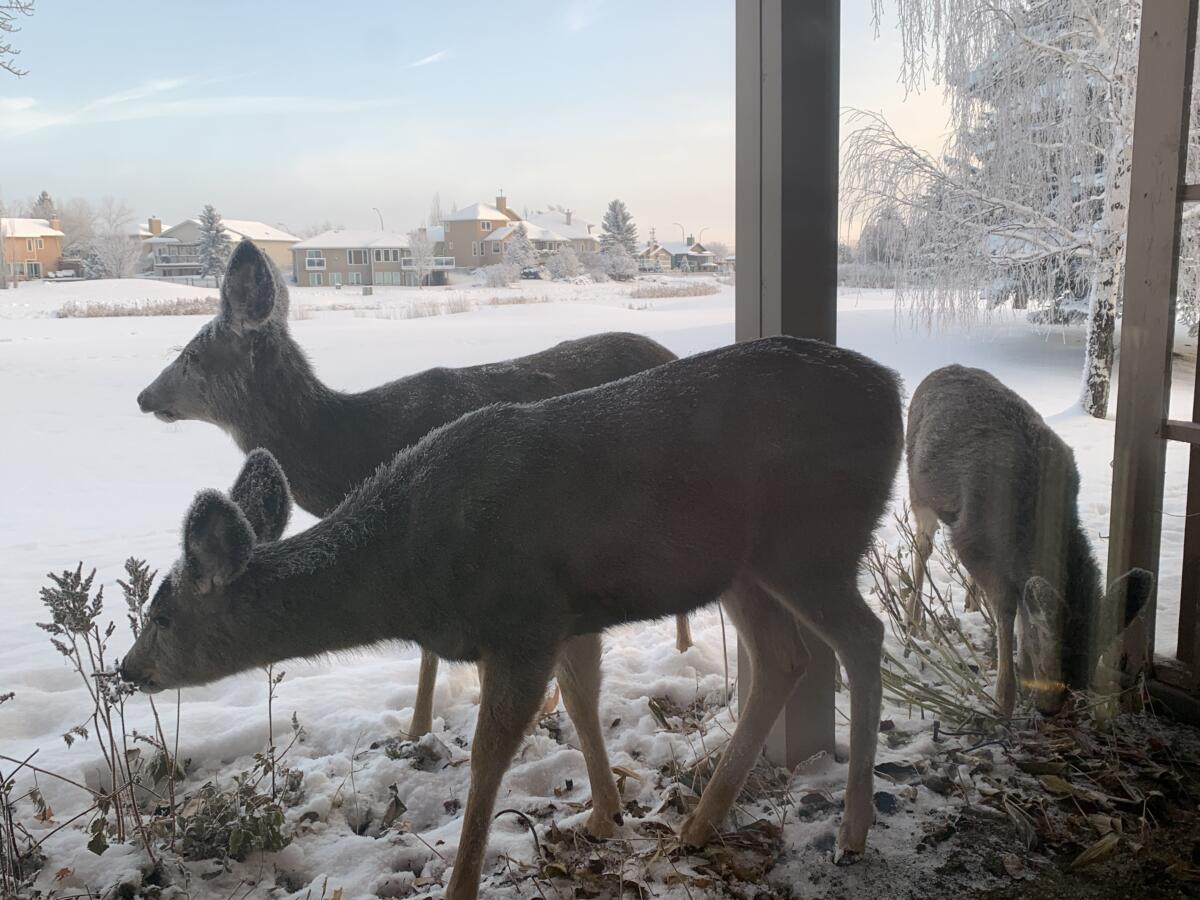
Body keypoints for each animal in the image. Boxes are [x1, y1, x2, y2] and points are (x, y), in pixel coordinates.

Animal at [120, 335, 904, 900]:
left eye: (162, 616)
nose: (128, 669)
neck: (409, 573)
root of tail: (895, 389)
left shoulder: (522, 620)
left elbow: (489, 754)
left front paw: (462, 885)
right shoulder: (569, 613)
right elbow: (582, 700)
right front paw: (605, 811)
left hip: (811, 539)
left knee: (863, 638)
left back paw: (852, 830)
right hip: (742, 564)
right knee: (784, 658)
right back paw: (701, 823)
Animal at [134, 239, 692, 737]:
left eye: (191, 355)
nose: (143, 396)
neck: (355, 448)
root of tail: (667, 348)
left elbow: (435, 653)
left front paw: (423, 727)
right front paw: (418, 727)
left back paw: (686, 654)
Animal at [905, 364, 1153, 716]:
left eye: (1087, 672)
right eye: (1048, 663)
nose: (1049, 709)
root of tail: (942, 370)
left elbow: (1023, 601)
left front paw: (1021, 675)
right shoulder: (970, 540)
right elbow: (1007, 609)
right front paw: (1004, 697)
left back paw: (969, 602)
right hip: (919, 492)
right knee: (921, 547)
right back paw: (913, 620)